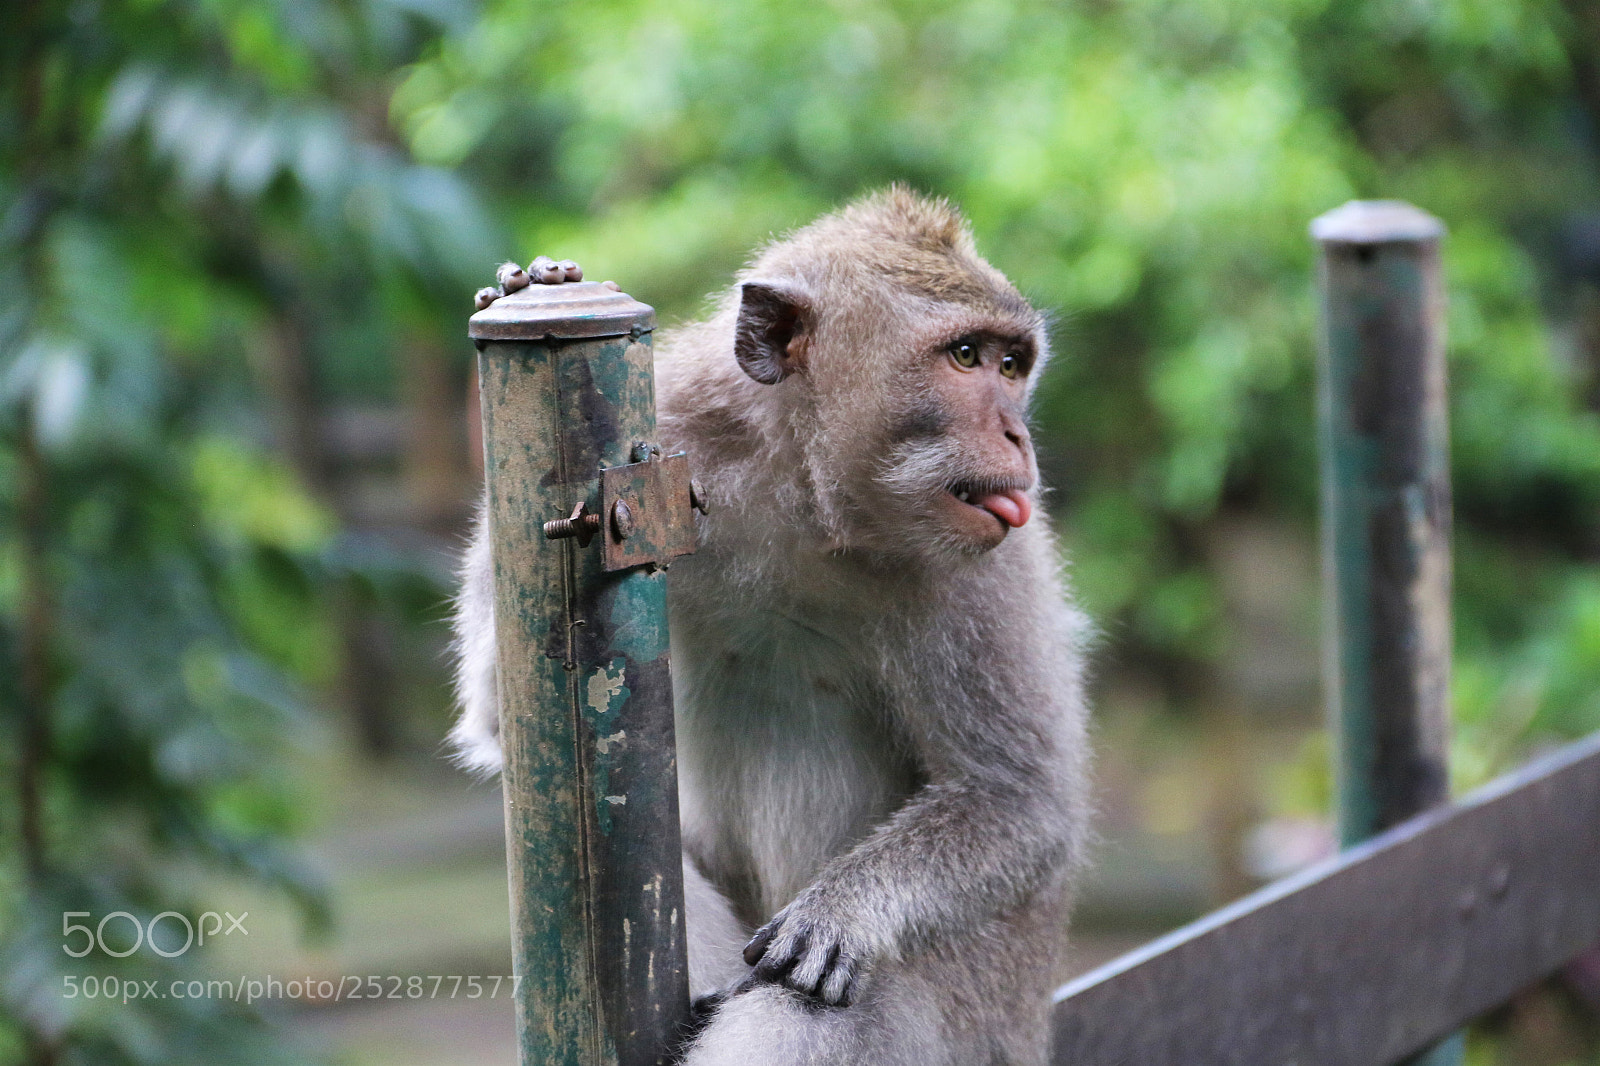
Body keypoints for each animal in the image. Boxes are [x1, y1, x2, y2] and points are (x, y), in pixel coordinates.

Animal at [451, 187, 1092, 1066]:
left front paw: (846, 910)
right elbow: (503, 719)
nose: (1017, 436)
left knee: (818, 1010)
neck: (802, 499)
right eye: (966, 356)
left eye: (1010, 365)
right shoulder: (675, 424)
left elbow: (1020, 796)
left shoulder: (986, 567)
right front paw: (533, 281)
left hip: (981, 1022)